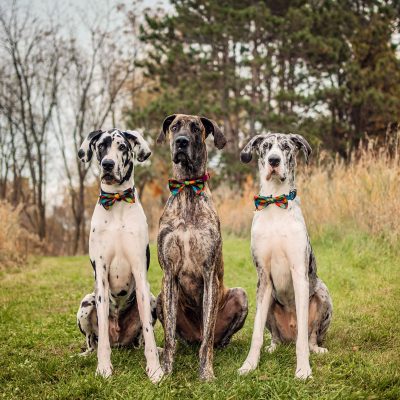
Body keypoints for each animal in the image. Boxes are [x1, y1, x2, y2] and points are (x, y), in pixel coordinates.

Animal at [76, 128, 163, 384]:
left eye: (123, 147)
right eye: (101, 146)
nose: (108, 164)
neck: (116, 203)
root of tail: (120, 341)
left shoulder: (140, 274)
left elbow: (149, 334)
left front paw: (155, 370)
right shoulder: (101, 276)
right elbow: (102, 336)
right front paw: (104, 368)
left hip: (153, 300)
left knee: (141, 339)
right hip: (86, 302)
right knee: (93, 341)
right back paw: (87, 354)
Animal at [155, 113, 247, 382]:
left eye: (196, 128)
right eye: (175, 127)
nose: (182, 142)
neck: (187, 187)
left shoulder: (209, 275)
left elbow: (207, 339)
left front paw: (206, 373)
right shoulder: (168, 275)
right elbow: (168, 337)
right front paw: (165, 371)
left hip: (240, 295)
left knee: (210, 338)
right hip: (159, 298)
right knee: (181, 338)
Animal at [238, 133, 332, 380]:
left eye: (286, 147)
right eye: (266, 146)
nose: (274, 160)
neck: (274, 204)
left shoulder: (299, 273)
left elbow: (303, 341)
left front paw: (303, 370)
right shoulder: (262, 277)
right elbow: (256, 334)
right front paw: (249, 365)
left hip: (322, 293)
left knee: (309, 337)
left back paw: (316, 349)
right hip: (271, 301)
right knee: (275, 336)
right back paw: (273, 346)